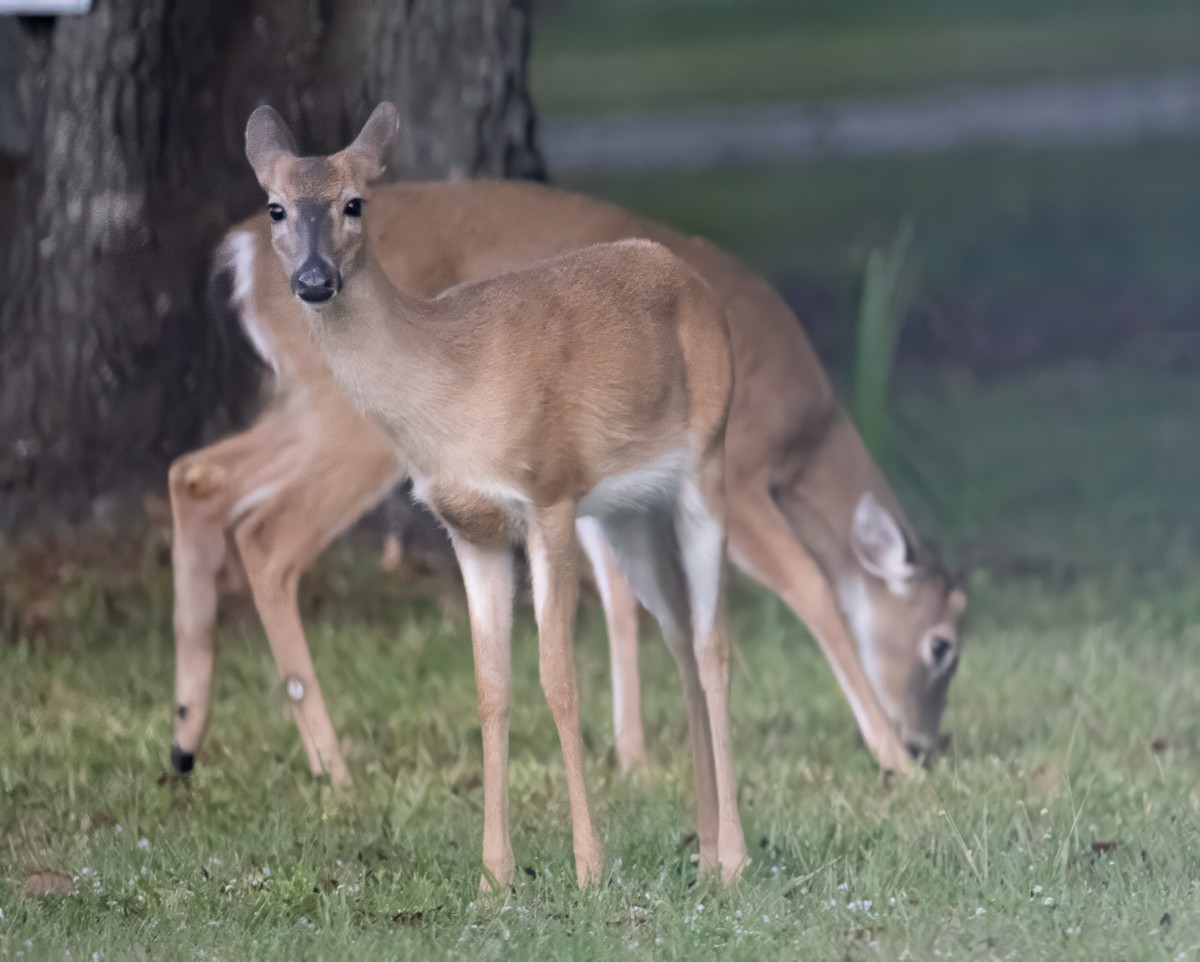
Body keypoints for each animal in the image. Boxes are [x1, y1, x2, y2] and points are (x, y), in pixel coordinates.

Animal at [170, 125, 966, 824]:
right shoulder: (735, 471)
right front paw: (890, 757)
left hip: (301, 403)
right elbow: (812, 588)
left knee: (197, 475)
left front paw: (633, 756)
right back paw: (329, 766)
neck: (802, 431)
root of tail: (243, 252)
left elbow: (620, 598)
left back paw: (186, 742)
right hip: (349, 423)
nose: (929, 743)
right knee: (268, 535)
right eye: (942, 644)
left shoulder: (596, 479)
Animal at [225, 100, 751, 887]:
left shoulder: (551, 496)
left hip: (707, 463)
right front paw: (492, 879)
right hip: (631, 514)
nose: (315, 280)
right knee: (682, 637)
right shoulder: (467, 527)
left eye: (355, 203)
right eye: (275, 207)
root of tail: (692, 280)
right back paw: (708, 850)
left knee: (714, 643)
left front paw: (588, 868)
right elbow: (490, 688)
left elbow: (558, 678)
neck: (450, 386)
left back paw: (735, 859)